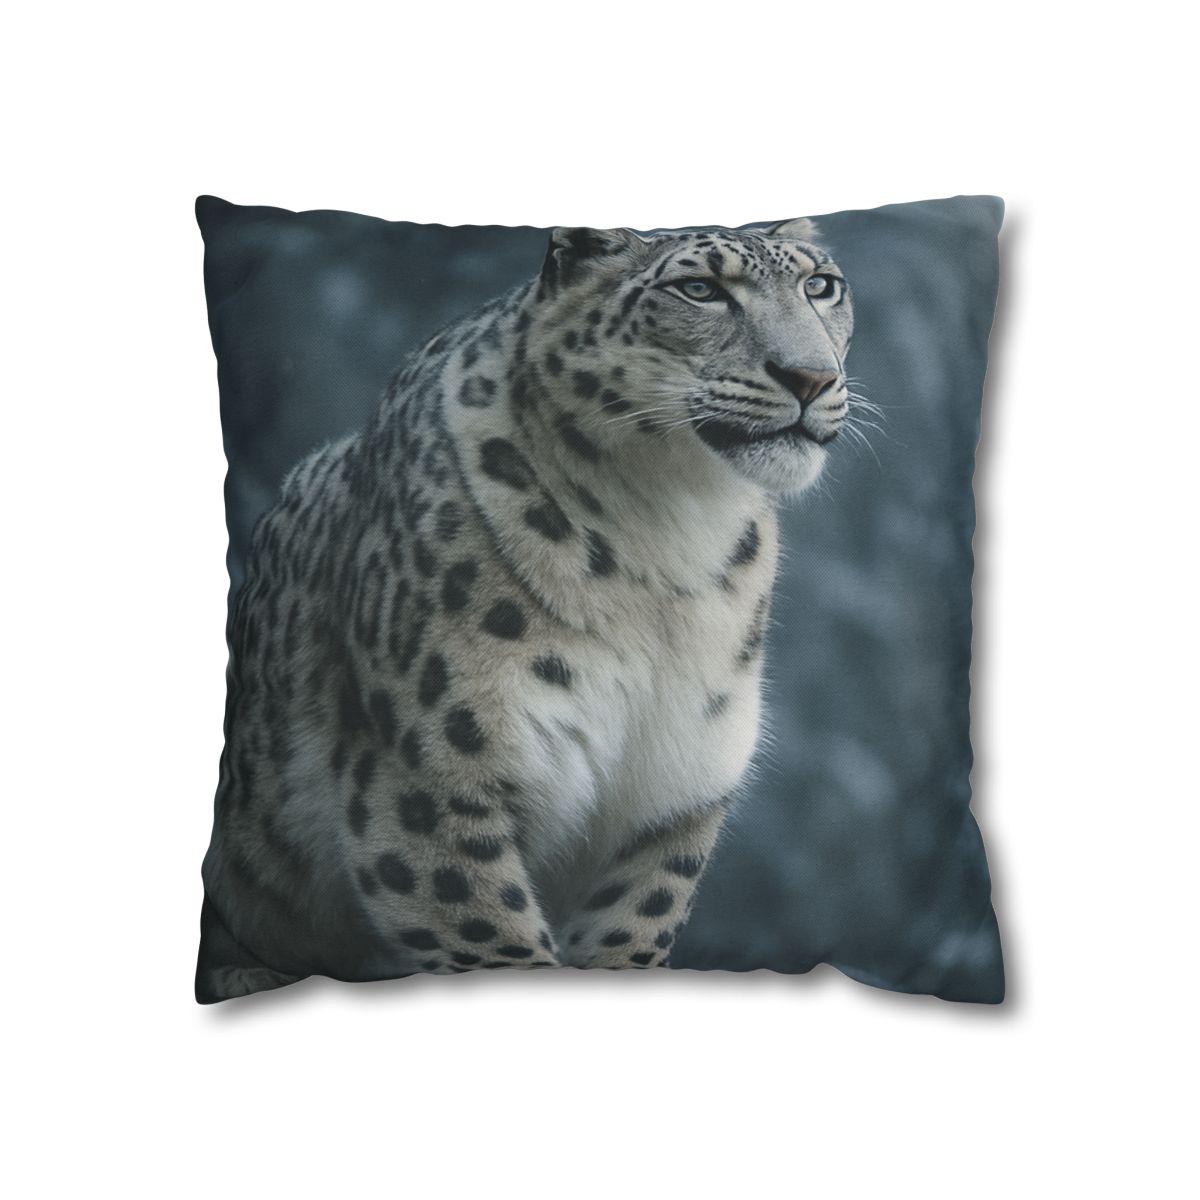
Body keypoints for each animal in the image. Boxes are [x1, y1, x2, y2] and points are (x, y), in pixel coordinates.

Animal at [197, 216, 855, 1001]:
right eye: (699, 289)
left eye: (821, 285)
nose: (811, 376)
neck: (674, 539)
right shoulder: (429, 785)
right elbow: (492, 935)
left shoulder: (670, 805)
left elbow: (632, 933)